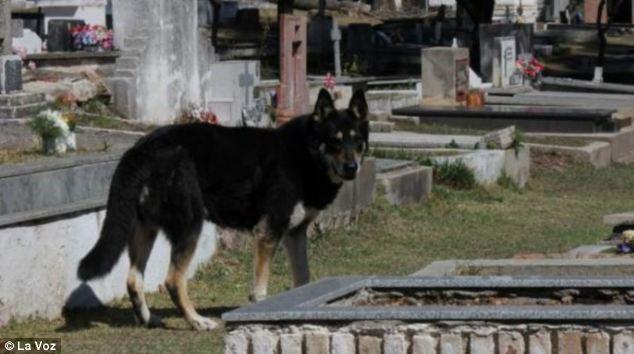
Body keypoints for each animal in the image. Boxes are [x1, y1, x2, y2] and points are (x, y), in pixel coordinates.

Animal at [76, 89, 368, 332]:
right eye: (335, 141)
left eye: (357, 141)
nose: (353, 168)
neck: (304, 153)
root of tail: (141, 148)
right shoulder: (269, 232)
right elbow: (260, 288)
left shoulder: (294, 234)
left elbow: (304, 278)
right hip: (191, 226)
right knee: (172, 280)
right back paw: (197, 321)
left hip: (147, 229)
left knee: (134, 280)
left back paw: (149, 320)